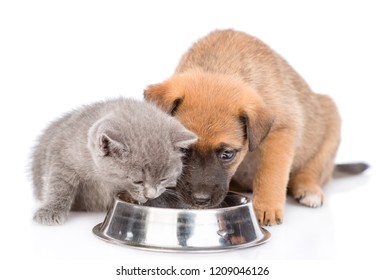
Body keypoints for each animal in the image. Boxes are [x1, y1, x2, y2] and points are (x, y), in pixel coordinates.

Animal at [31, 97, 196, 225]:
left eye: (163, 179)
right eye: (137, 181)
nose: (151, 195)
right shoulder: (62, 153)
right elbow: (59, 184)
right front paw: (51, 210)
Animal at [146, 29, 366, 225]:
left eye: (227, 154)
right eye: (182, 150)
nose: (200, 200)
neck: (219, 65)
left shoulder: (282, 131)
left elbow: (270, 173)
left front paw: (267, 207)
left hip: (330, 130)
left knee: (313, 170)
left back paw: (309, 190)